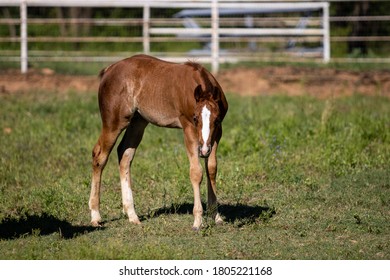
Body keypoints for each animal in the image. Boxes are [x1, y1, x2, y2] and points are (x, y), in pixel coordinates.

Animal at [88, 54, 229, 230]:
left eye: (216, 120)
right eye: (195, 118)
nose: (203, 150)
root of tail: (109, 69)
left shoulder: (217, 134)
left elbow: (211, 169)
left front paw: (216, 216)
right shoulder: (188, 128)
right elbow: (196, 172)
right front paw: (197, 221)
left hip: (138, 122)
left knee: (124, 154)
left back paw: (132, 215)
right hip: (114, 123)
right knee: (99, 156)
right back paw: (95, 216)